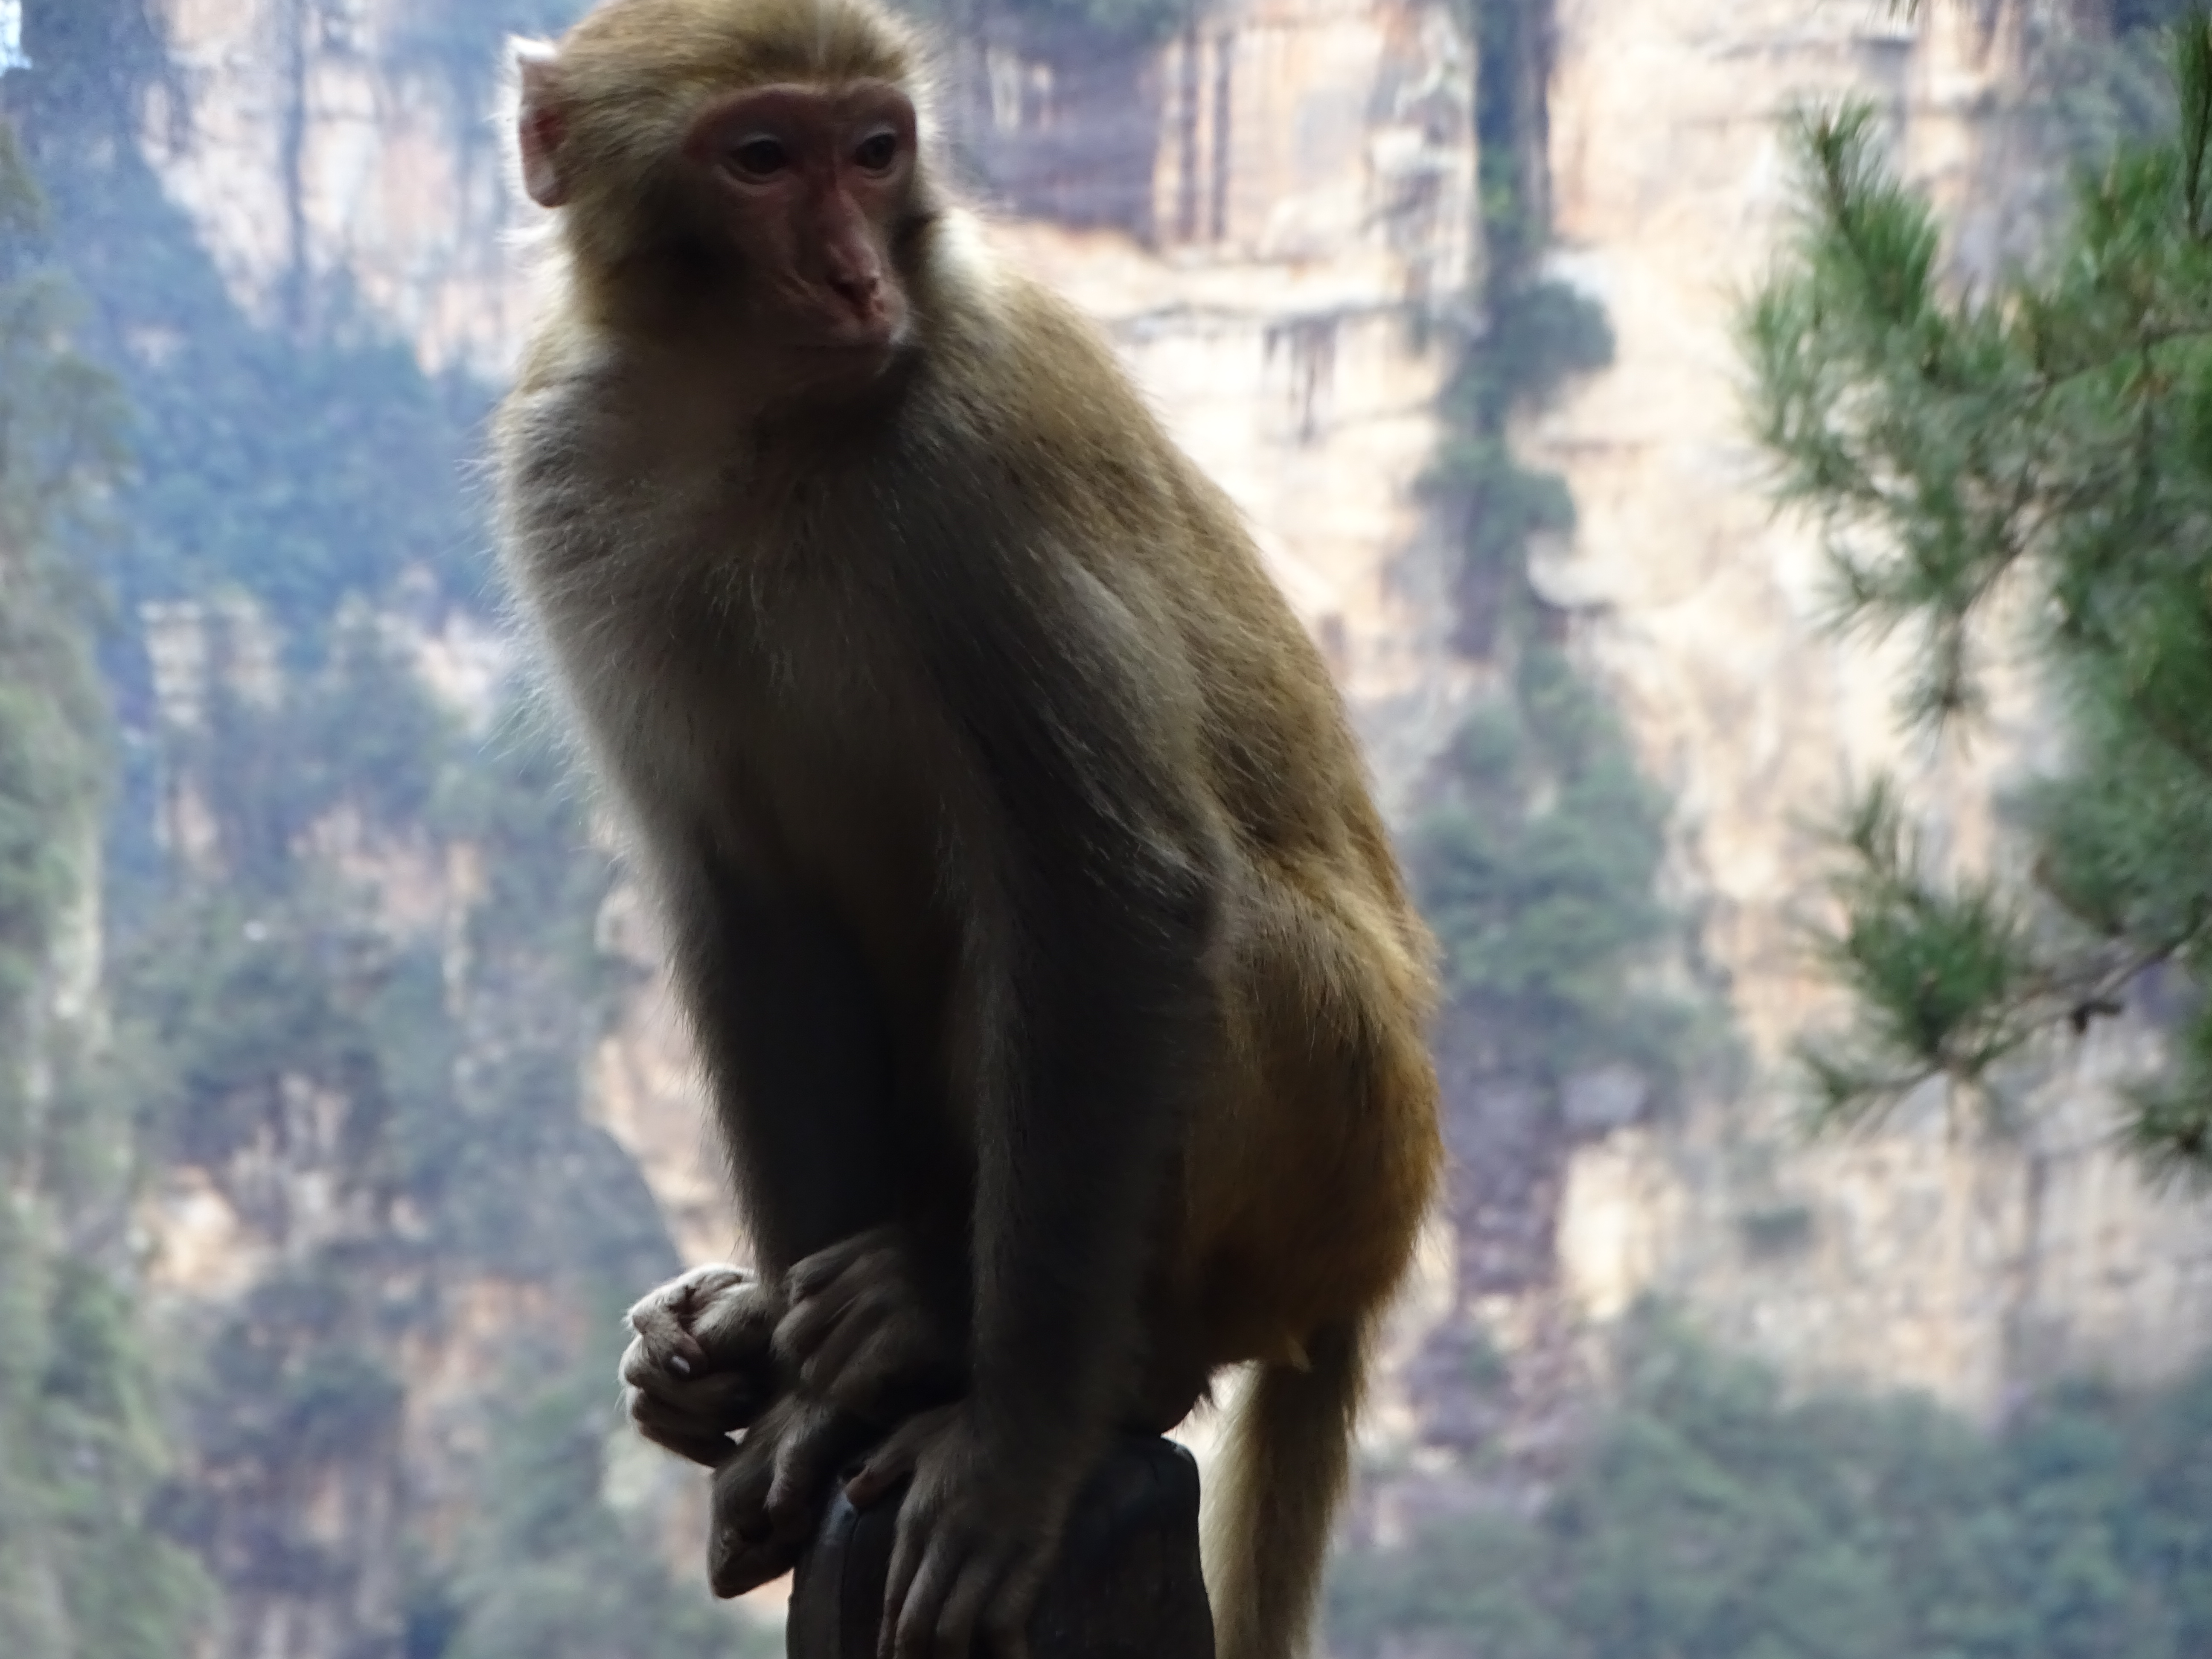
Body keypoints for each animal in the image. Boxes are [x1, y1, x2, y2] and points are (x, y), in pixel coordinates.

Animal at [493, 2, 1442, 1655]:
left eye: (876, 151)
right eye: (763, 158)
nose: (856, 277)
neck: (751, 413)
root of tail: (1372, 1260)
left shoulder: (978, 458)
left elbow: (1108, 886)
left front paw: (1008, 1456)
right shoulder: (571, 469)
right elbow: (744, 897)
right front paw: (804, 1412)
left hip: (1336, 1157)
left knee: (1216, 951)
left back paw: (1053, 1342)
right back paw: (768, 1328)